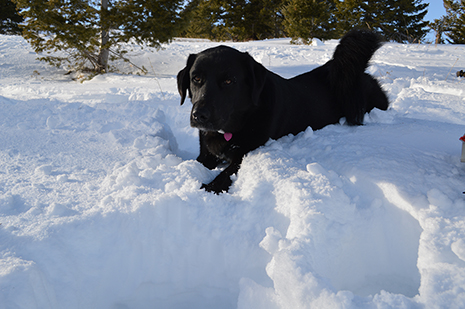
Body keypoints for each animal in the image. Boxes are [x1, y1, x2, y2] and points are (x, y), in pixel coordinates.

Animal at [178, 29, 388, 192]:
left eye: (229, 81)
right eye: (196, 78)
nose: (199, 115)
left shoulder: (245, 155)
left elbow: (224, 176)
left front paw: (206, 187)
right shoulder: (206, 154)